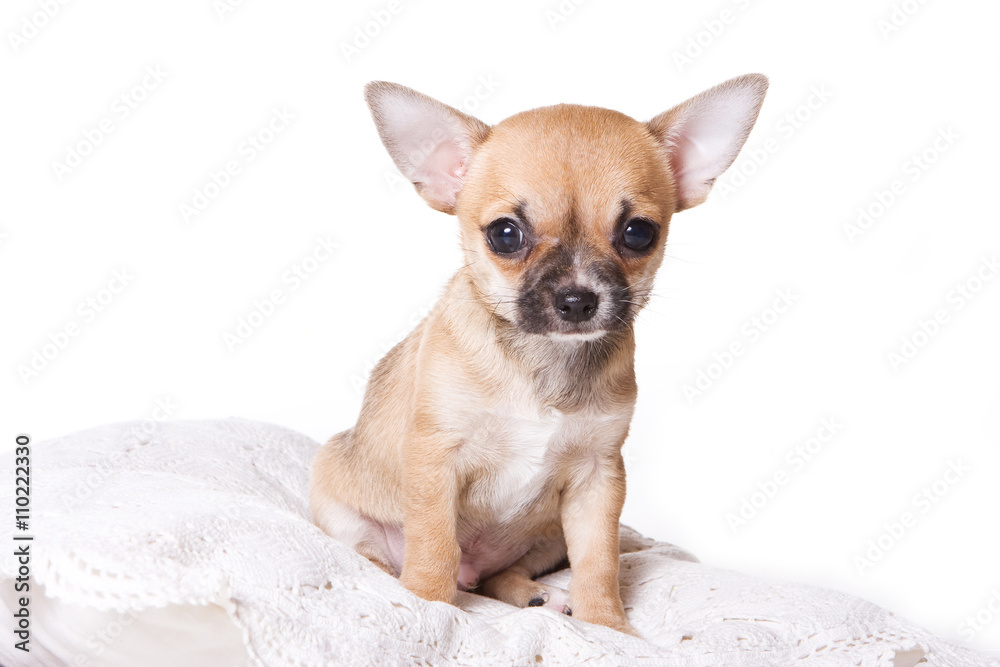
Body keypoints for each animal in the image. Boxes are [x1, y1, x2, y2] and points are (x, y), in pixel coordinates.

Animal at [310, 75, 764, 636]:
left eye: (639, 233)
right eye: (505, 234)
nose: (577, 299)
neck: (543, 359)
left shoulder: (598, 482)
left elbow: (598, 561)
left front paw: (608, 626)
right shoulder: (436, 463)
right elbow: (434, 545)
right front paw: (428, 606)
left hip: (548, 531)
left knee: (502, 574)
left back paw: (536, 595)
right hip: (338, 501)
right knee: (380, 558)